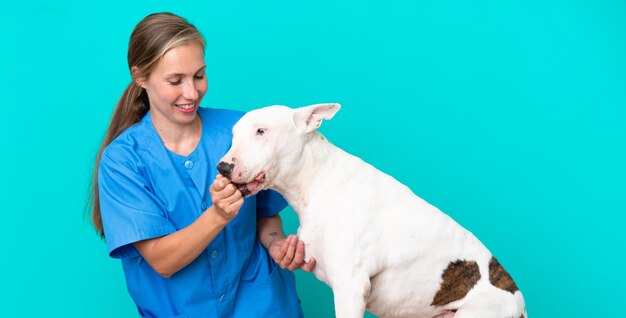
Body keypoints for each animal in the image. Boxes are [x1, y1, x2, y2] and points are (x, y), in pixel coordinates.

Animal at [217, 103, 524, 316]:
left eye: (261, 131)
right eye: (233, 134)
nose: (223, 167)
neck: (317, 180)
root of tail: (519, 301)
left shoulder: (351, 289)